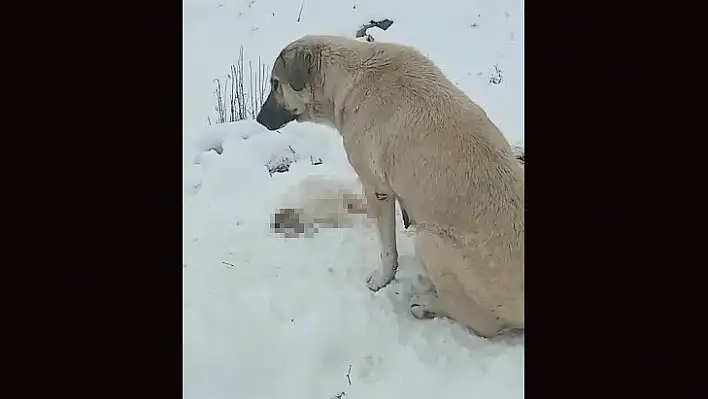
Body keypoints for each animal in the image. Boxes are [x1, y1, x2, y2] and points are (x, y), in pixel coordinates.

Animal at [258, 36, 524, 340]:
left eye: (275, 83)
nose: (258, 118)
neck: (347, 79)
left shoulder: (377, 189)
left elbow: (388, 250)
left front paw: (381, 280)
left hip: (429, 240)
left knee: (483, 323)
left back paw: (427, 304)